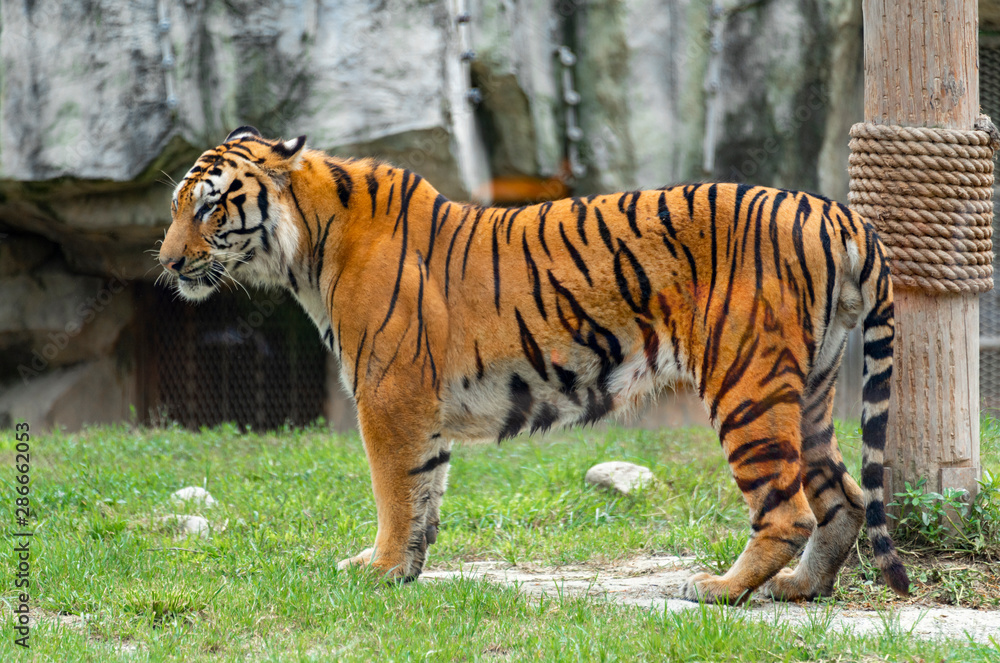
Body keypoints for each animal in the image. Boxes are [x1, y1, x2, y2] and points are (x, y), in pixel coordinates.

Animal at [157, 126, 909, 604]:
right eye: (176, 207)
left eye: (210, 207)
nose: (166, 262)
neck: (306, 247)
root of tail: (835, 212)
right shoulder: (419, 411)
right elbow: (425, 493)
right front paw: (401, 569)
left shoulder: (388, 396)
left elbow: (393, 493)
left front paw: (379, 568)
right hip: (810, 388)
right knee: (841, 495)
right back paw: (800, 587)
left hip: (746, 380)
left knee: (788, 508)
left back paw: (720, 589)